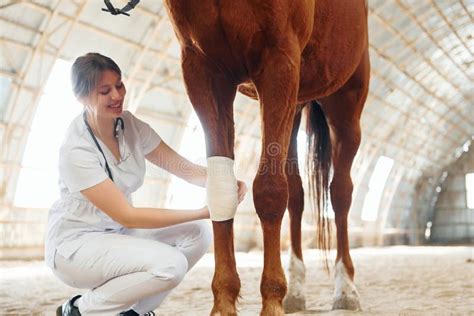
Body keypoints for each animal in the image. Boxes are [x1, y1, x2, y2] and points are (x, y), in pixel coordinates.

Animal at [159, 0, 370, 314]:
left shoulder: (278, 60)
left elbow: (270, 190)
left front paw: (271, 301)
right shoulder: (202, 69)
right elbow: (221, 190)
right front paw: (224, 302)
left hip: (346, 104)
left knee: (340, 194)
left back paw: (345, 289)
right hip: (295, 106)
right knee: (297, 195)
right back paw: (296, 291)